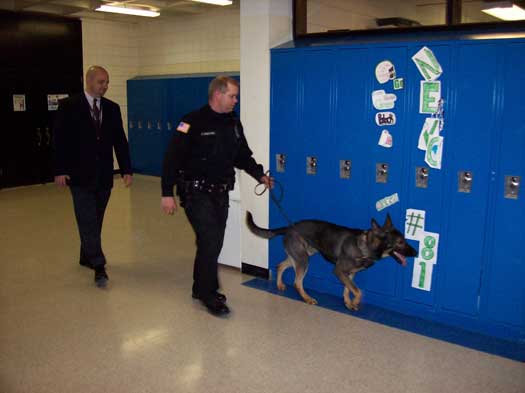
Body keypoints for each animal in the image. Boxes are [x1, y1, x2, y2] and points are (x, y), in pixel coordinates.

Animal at [247, 213, 418, 310]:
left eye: (404, 240)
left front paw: (348, 303)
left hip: (300, 256)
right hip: (303, 260)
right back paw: (307, 298)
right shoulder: (339, 271)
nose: (416, 253)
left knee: (280, 265)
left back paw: (280, 285)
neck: (364, 247)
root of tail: (289, 227)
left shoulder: (349, 274)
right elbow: (358, 291)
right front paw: (355, 302)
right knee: (297, 282)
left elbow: (348, 289)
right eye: (400, 242)